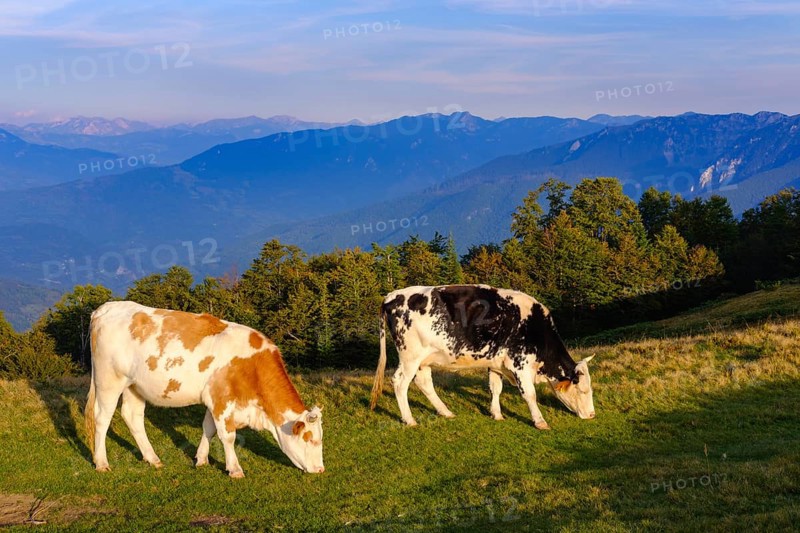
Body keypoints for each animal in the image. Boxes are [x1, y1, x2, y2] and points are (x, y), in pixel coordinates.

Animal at [85, 301, 324, 478]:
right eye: (310, 439)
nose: (321, 469)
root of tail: (106, 307)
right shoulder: (222, 399)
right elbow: (227, 435)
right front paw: (234, 469)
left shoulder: (213, 399)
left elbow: (208, 428)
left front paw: (201, 459)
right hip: (109, 380)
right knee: (102, 418)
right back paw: (102, 462)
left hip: (135, 386)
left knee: (132, 416)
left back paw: (153, 459)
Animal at [370, 285, 595, 429]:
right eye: (583, 390)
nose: (592, 415)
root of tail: (391, 296)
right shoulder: (520, 363)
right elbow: (530, 394)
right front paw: (539, 421)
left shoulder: (496, 363)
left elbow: (496, 388)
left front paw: (497, 414)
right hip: (410, 357)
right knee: (400, 383)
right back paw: (409, 420)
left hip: (424, 359)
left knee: (424, 383)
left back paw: (445, 412)